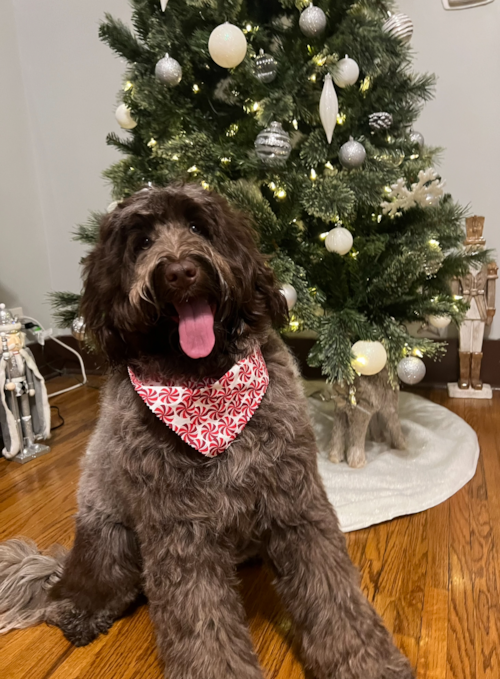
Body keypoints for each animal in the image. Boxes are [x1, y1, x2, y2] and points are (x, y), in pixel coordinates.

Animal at [0, 186, 412, 679]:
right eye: (141, 242)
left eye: (198, 226)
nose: (180, 272)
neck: (206, 389)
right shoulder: (181, 533)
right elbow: (203, 626)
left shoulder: (296, 503)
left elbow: (334, 596)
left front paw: (369, 663)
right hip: (110, 536)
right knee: (72, 589)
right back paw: (79, 612)